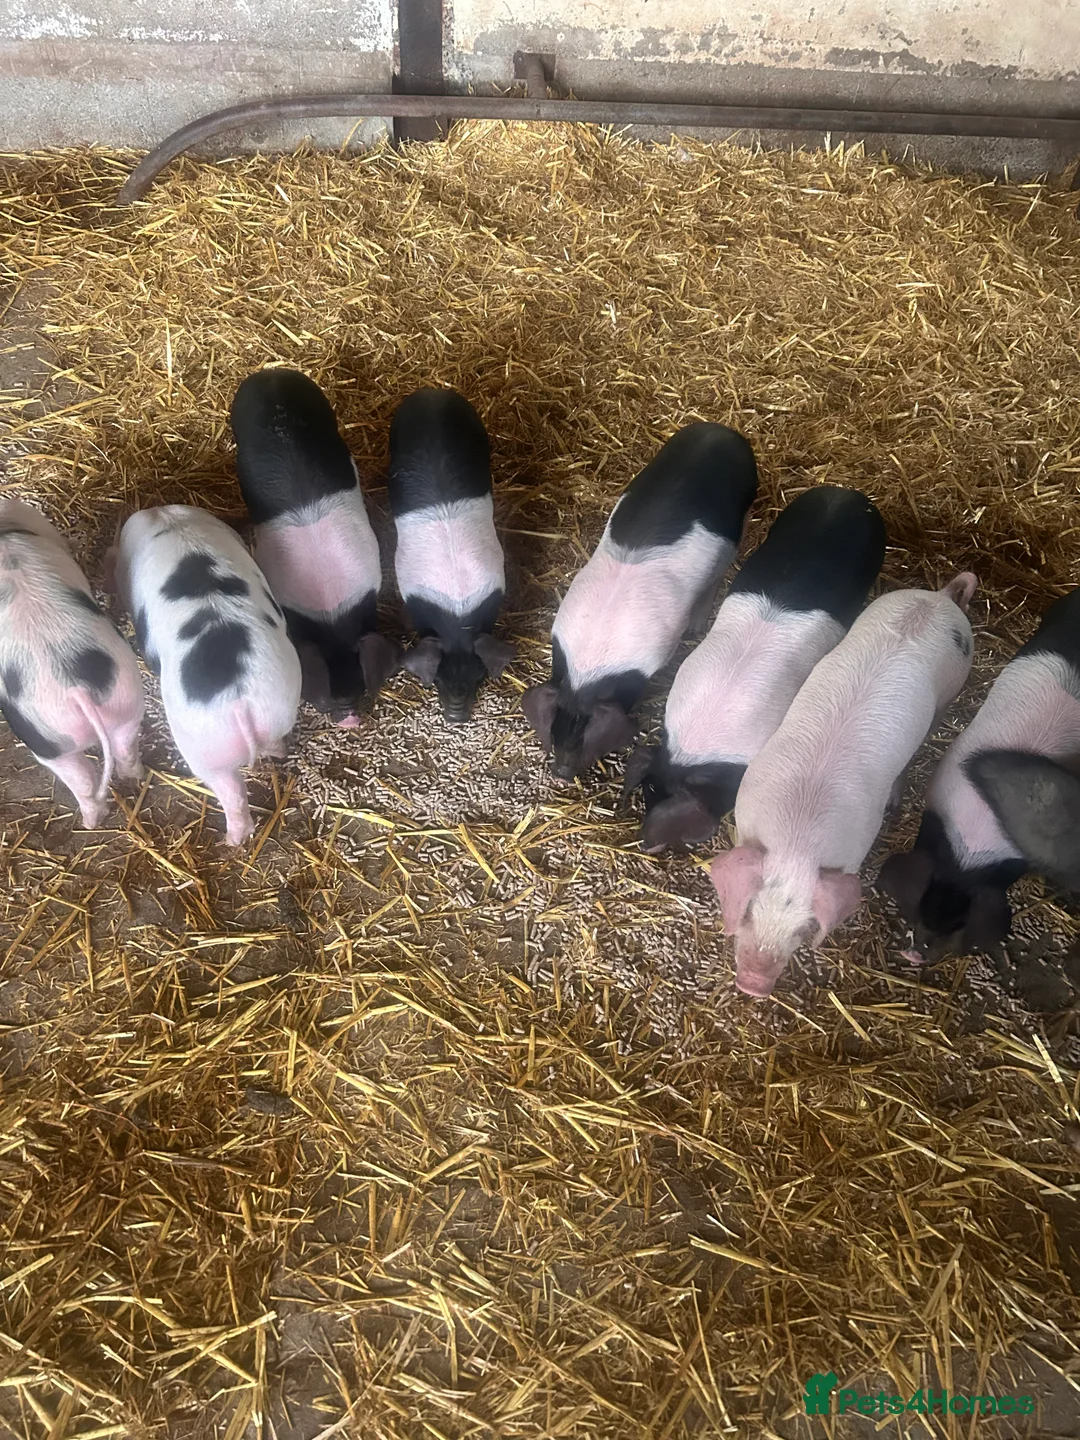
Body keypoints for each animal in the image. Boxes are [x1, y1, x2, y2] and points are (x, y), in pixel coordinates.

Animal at [0, 500, 144, 827]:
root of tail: (75, 687)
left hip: (43, 738)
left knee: (82, 781)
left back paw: (90, 822)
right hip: (123, 701)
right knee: (120, 752)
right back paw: (131, 782)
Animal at [114, 505, 301, 845]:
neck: (173, 522)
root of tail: (240, 701)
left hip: (204, 749)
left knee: (230, 791)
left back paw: (232, 841)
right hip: (278, 707)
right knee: (272, 744)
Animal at [523, 423, 758, 780]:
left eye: (586, 730)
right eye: (558, 722)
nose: (562, 772)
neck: (589, 673)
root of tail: (721, 431)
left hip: (738, 524)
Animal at [710, 573, 978, 998]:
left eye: (805, 927)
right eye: (750, 909)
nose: (753, 984)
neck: (798, 842)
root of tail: (942, 597)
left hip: (951, 691)